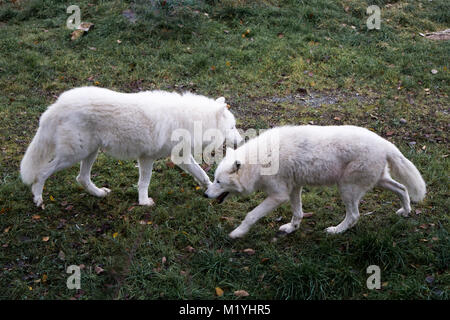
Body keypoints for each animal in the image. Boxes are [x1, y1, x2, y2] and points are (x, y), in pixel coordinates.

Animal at [20, 86, 243, 209]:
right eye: (233, 126)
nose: (241, 141)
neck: (190, 118)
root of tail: (57, 105)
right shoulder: (147, 158)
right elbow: (144, 182)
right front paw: (144, 203)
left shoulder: (180, 157)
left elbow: (201, 174)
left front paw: (212, 189)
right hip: (73, 156)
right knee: (42, 173)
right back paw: (38, 198)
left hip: (90, 153)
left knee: (81, 178)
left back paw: (99, 194)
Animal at [206, 125, 428, 238]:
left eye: (218, 181)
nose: (205, 193)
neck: (259, 161)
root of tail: (385, 143)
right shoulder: (294, 189)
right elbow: (297, 213)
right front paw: (292, 229)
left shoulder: (278, 196)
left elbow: (251, 215)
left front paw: (237, 233)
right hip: (379, 181)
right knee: (402, 188)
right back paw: (406, 211)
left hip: (346, 189)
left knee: (354, 216)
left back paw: (335, 231)